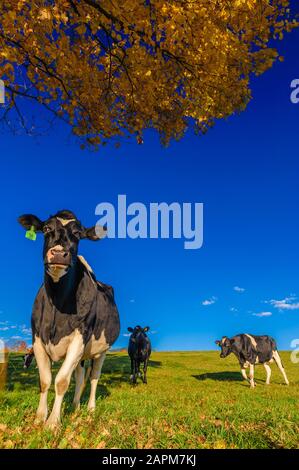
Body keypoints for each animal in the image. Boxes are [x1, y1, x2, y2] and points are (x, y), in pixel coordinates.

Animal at [17, 209, 120, 430]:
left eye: (78, 234)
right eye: (46, 228)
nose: (58, 253)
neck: (58, 307)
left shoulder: (79, 337)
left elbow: (62, 381)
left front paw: (53, 423)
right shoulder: (37, 339)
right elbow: (45, 380)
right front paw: (40, 417)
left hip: (101, 351)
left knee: (94, 377)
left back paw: (90, 409)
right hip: (82, 356)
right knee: (80, 377)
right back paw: (75, 407)